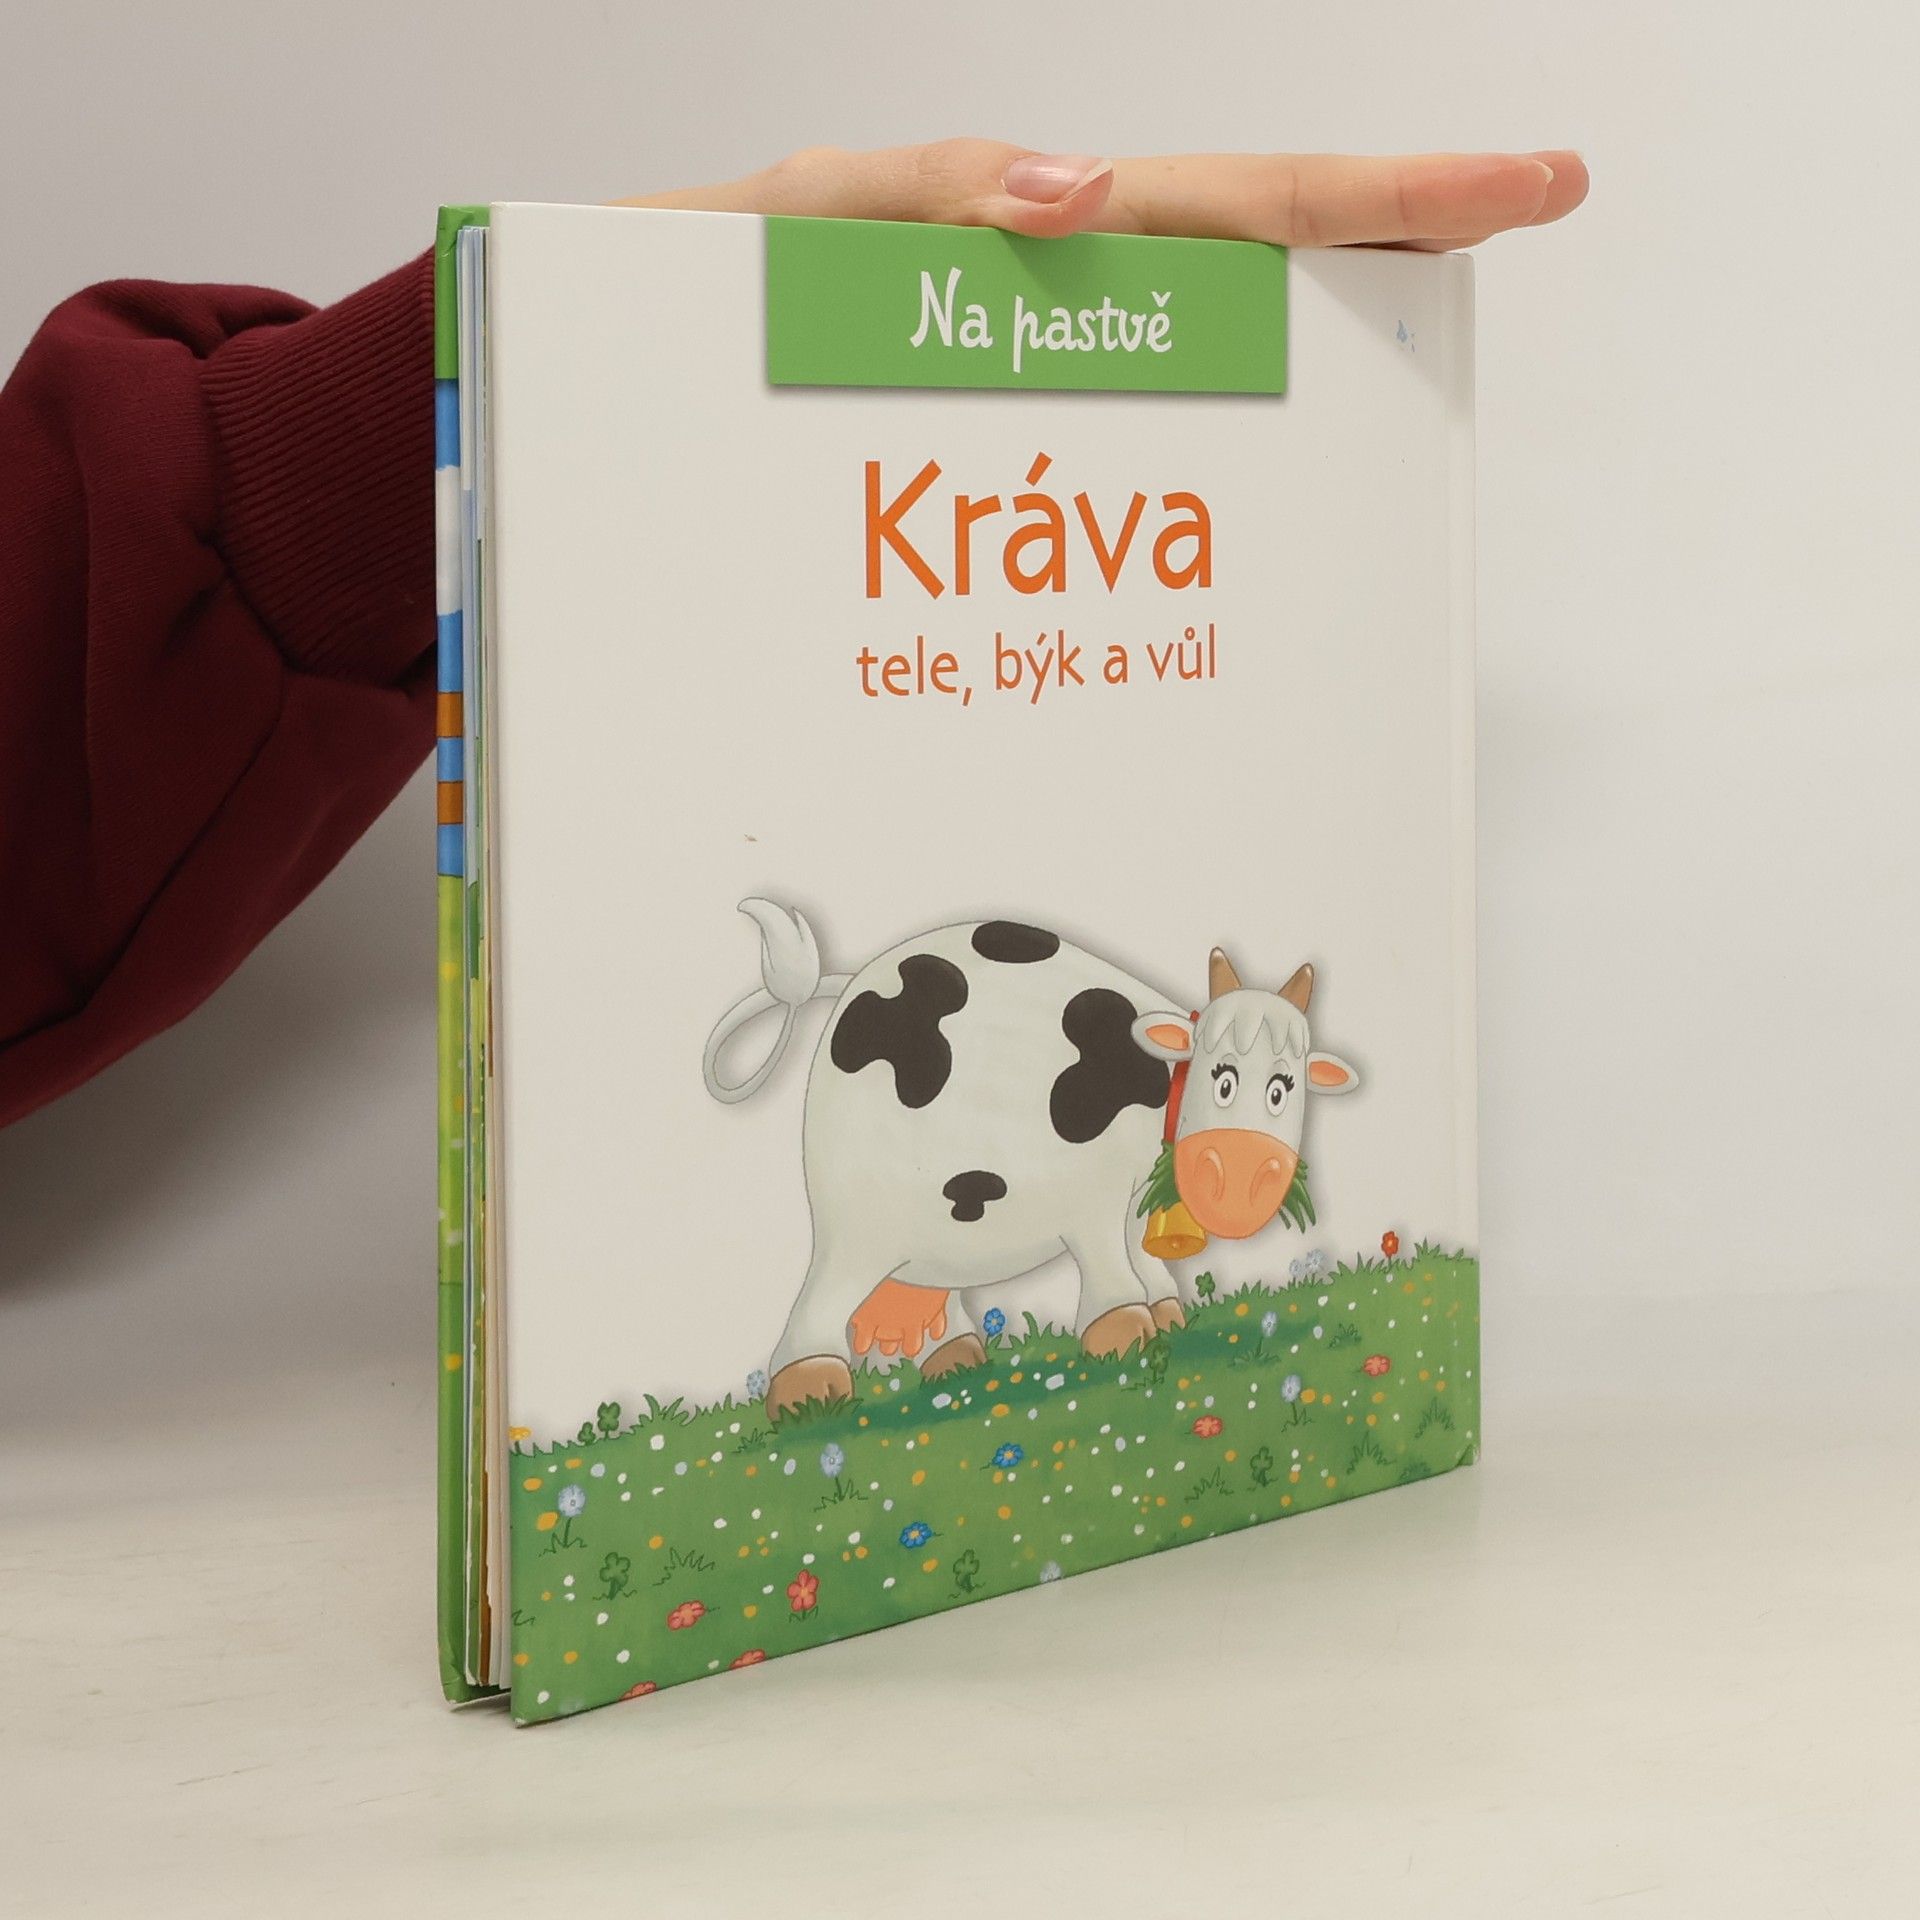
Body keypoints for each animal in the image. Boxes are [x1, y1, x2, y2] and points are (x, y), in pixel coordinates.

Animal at [702, 901, 1360, 1418]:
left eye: (1283, 1090)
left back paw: (957, 1362)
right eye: (1223, 1081)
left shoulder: (1130, 1202)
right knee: (827, 1288)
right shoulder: (1093, 1197)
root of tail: (849, 982)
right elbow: (1110, 1265)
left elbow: (1145, 1261)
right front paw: (1125, 1334)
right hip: (856, 1206)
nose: (1246, 1180)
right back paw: (809, 1392)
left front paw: (1168, 1314)